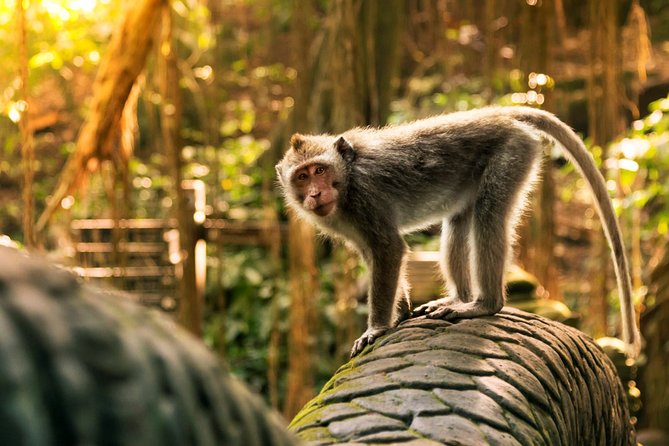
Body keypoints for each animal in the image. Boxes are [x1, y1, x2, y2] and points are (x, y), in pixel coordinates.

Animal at [274, 105, 640, 358]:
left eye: (320, 170)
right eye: (302, 177)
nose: (315, 194)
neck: (347, 178)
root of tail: (500, 113)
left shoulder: (366, 199)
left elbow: (389, 250)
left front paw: (376, 328)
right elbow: (374, 254)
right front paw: (401, 310)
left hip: (512, 153)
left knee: (488, 216)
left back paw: (484, 304)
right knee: (458, 221)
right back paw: (459, 298)